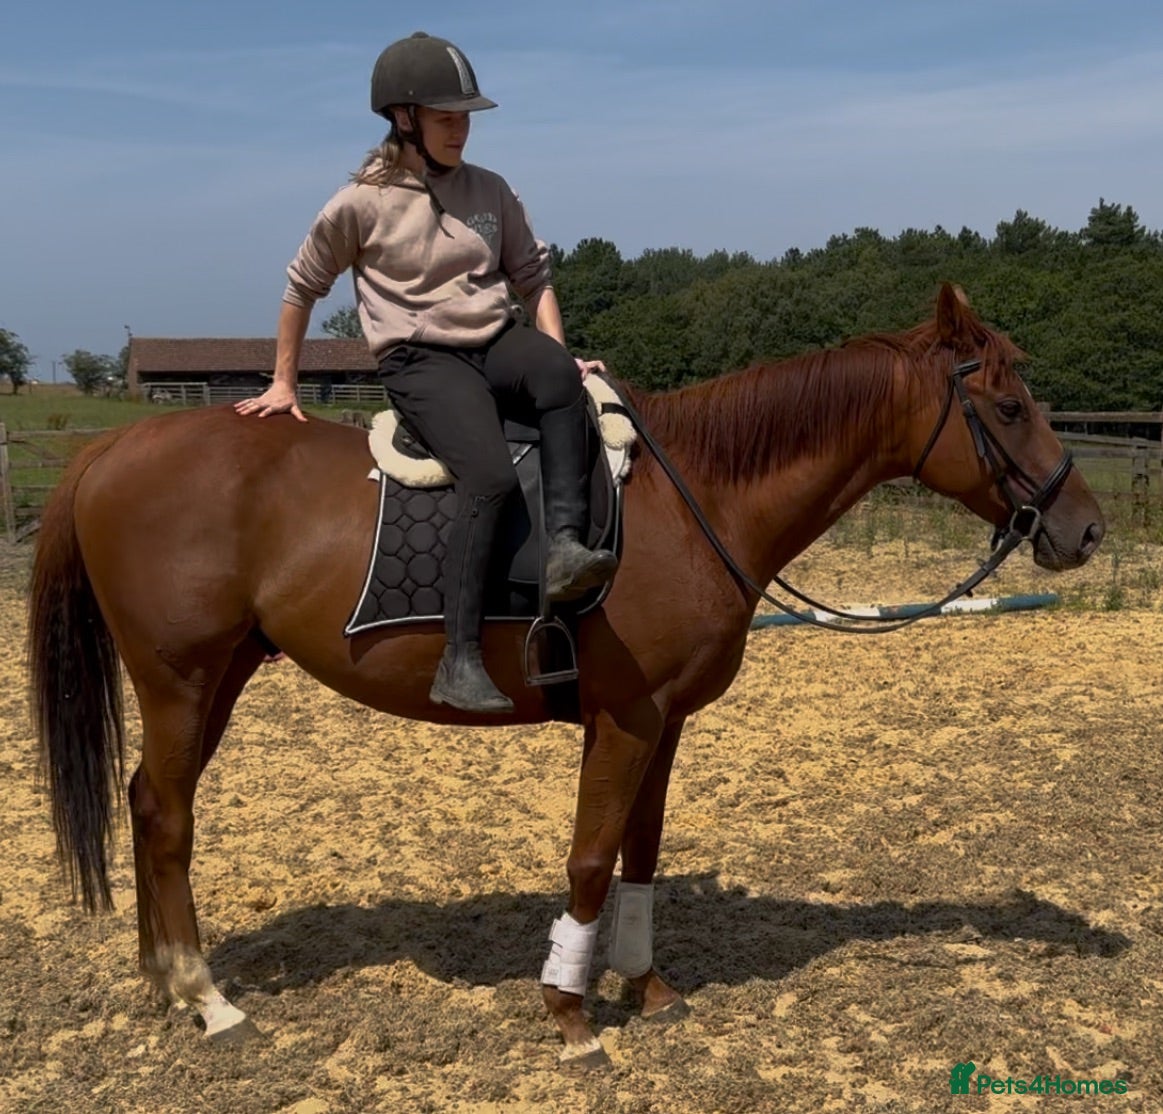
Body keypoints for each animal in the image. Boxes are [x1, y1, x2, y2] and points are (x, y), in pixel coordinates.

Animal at [28, 284, 1104, 1068]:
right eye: (1008, 406)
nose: (1083, 528)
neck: (693, 497)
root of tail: (112, 447)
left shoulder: (663, 721)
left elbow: (639, 851)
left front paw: (644, 985)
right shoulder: (624, 717)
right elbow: (588, 856)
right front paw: (569, 1012)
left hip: (220, 675)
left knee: (146, 802)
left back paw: (163, 980)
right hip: (180, 677)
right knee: (169, 816)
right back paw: (205, 997)